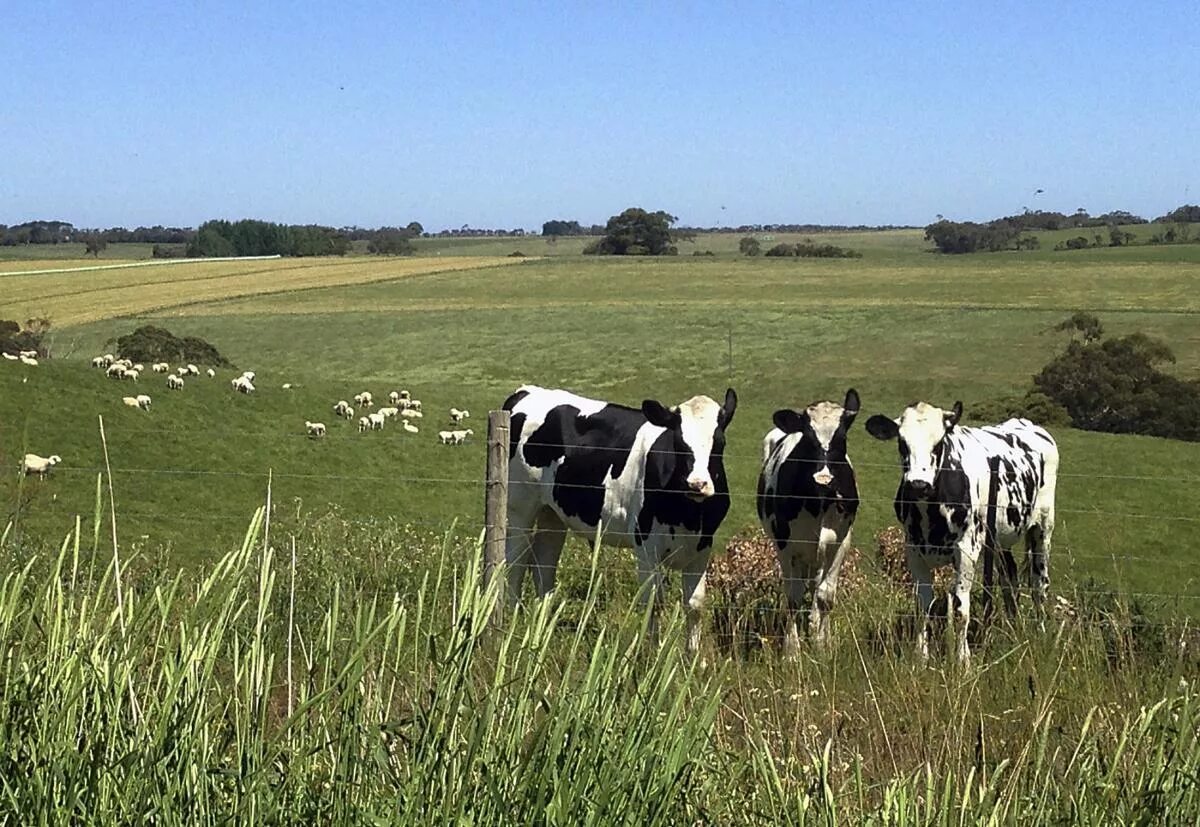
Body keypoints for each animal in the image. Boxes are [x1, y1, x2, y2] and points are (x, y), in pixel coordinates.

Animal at [501, 381, 734, 652]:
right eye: (678, 442)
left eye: (719, 442)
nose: (697, 484)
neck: (688, 515)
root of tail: (527, 390)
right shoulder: (646, 545)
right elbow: (653, 602)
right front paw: (651, 655)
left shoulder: (702, 546)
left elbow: (694, 605)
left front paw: (693, 658)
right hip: (520, 507)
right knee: (515, 564)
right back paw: (513, 623)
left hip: (553, 515)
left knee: (543, 567)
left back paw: (543, 625)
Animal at [753, 386, 859, 652]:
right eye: (808, 439)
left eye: (842, 438)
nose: (823, 478)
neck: (818, 503)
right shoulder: (785, 545)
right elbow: (793, 597)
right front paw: (792, 650)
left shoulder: (840, 542)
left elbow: (826, 596)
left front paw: (822, 644)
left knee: (817, 585)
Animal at [864, 396, 1060, 662]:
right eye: (902, 443)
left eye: (939, 443)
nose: (918, 484)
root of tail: (1029, 424)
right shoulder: (913, 549)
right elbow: (923, 605)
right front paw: (920, 657)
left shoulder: (967, 550)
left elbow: (960, 609)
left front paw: (962, 659)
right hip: (999, 538)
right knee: (1009, 579)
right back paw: (1012, 630)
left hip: (1043, 528)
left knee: (1040, 584)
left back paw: (1039, 634)